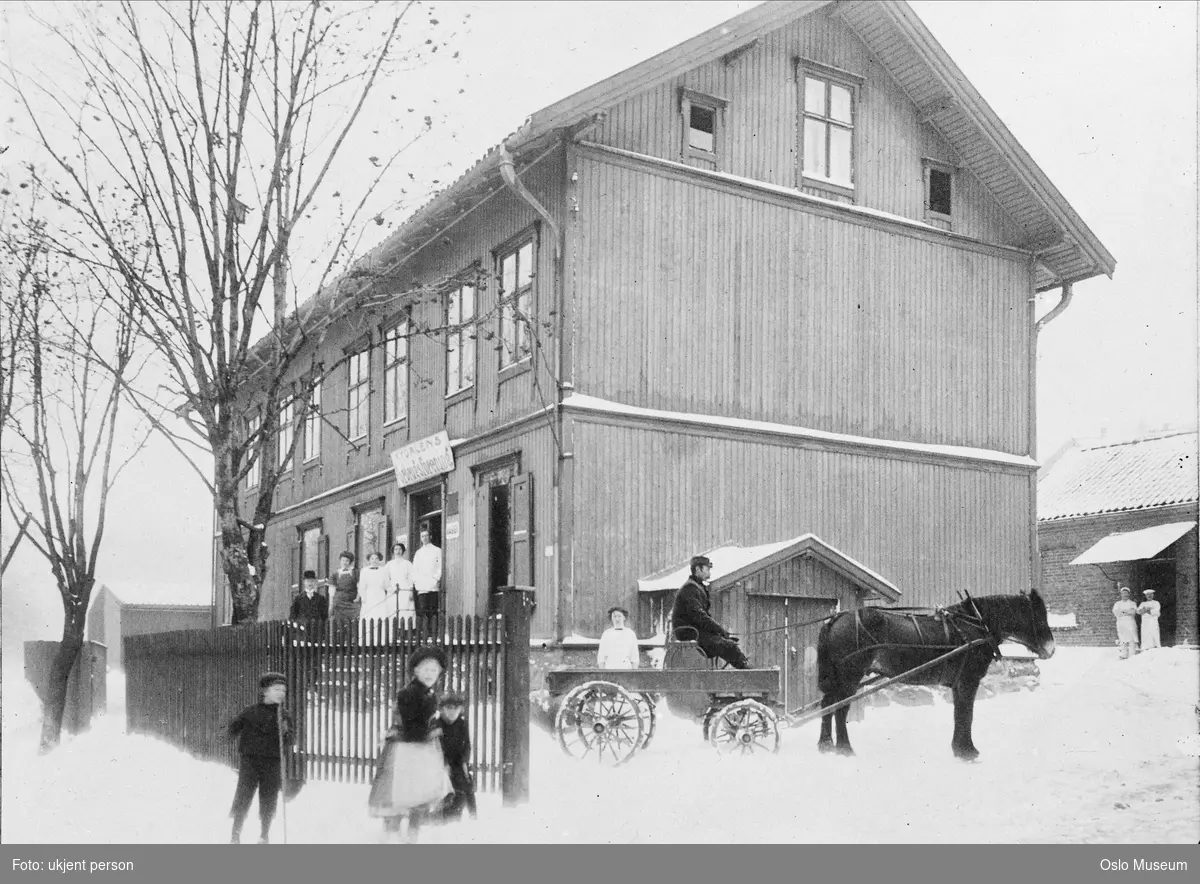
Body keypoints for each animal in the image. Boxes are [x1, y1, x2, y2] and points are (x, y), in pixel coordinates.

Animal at [811, 585, 1056, 758]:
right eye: (1038, 615)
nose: (1051, 649)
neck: (976, 625)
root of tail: (835, 619)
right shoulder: (968, 681)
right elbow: (966, 714)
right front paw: (967, 751)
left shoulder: (958, 683)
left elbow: (960, 714)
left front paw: (959, 748)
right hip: (849, 677)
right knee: (839, 709)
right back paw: (845, 749)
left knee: (827, 704)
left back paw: (826, 745)